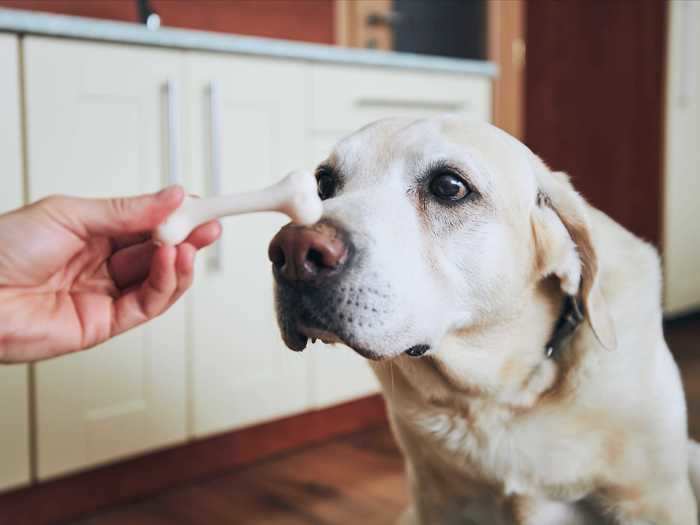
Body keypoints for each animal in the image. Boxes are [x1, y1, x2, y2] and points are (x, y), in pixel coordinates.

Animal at [268, 116, 700, 520]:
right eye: (323, 183)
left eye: (449, 187)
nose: (293, 253)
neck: (497, 395)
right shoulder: (436, 500)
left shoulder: (655, 501)